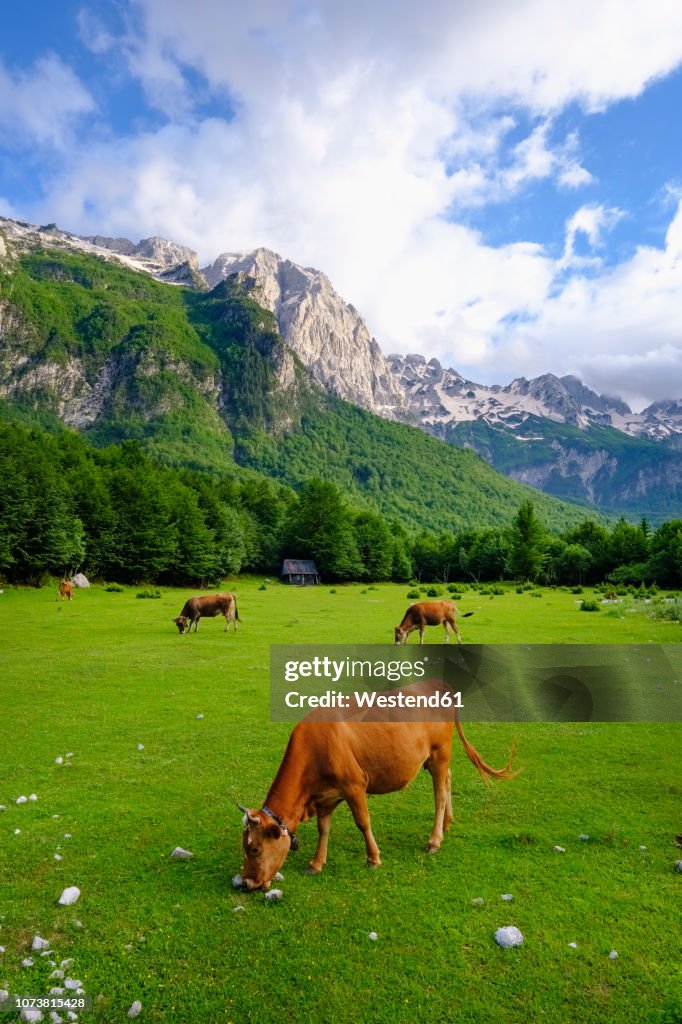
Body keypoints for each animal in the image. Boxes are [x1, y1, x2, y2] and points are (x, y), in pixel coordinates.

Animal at [237, 684, 516, 892]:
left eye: (254, 848)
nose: (247, 882)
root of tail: (437, 684)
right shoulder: (325, 797)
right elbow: (323, 829)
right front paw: (316, 863)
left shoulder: (354, 786)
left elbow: (363, 822)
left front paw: (373, 858)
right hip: (434, 759)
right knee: (448, 780)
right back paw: (447, 822)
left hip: (440, 753)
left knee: (439, 794)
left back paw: (435, 839)